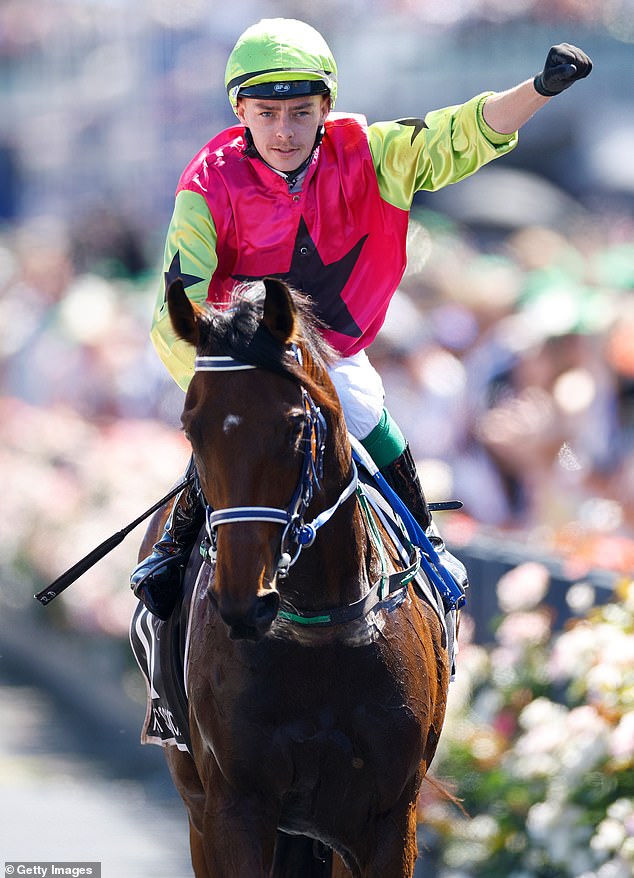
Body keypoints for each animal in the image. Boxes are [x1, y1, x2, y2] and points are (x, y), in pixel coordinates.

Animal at [141, 278, 452, 876]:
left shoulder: (389, 819)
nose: (244, 600)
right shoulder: (233, 808)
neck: (321, 632)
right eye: (191, 428)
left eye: (294, 425)